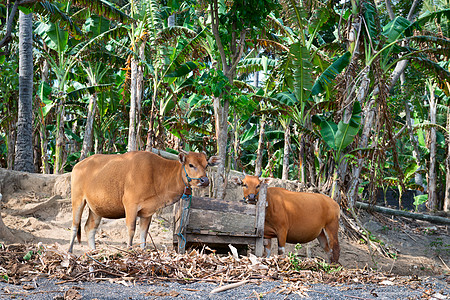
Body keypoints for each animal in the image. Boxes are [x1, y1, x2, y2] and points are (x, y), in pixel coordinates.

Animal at [67, 151, 220, 252]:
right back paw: (69, 251)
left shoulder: (148, 212)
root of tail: (78, 165)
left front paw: (142, 251)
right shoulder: (130, 205)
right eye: (191, 165)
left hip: (97, 208)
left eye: (206, 165)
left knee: (89, 228)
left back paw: (93, 252)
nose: (205, 180)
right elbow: (131, 230)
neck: (156, 174)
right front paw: (129, 251)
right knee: (75, 226)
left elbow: (144, 234)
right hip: (78, 200)